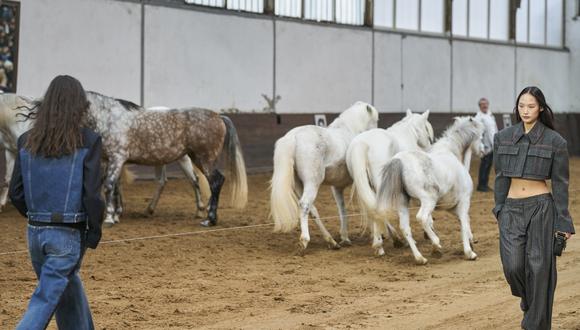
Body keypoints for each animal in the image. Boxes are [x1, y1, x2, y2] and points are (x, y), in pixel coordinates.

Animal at [270, 102, 378, 251]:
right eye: (376, 120)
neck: (351, 130)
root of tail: (294, 137)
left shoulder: (337, 187)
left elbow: (342, 209)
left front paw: (345, 238)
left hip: (299, 185)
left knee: (312, 209)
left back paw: (331, 241)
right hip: (312, 183)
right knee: (305, 204)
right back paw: (305, 240)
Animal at [346, 108, 432, 255]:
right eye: (426, 129)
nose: (429, 146)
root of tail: (362, 143)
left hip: (368, 185)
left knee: (375, 209)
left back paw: (383, 244)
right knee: (380, 208)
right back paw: (389, 241)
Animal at [376, 116, 484, 266]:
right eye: (481, 135)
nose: (484, 150)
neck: (451, 153)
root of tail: (399, 161)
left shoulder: (451, 207)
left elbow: (465, 221)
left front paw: (471, 241)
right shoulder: (464, 201)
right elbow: (463, 221)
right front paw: (470, 252)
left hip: (403, 203)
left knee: (405, 227)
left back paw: (420, 258)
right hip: (428, 200)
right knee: (421, 218)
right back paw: (436, 245)